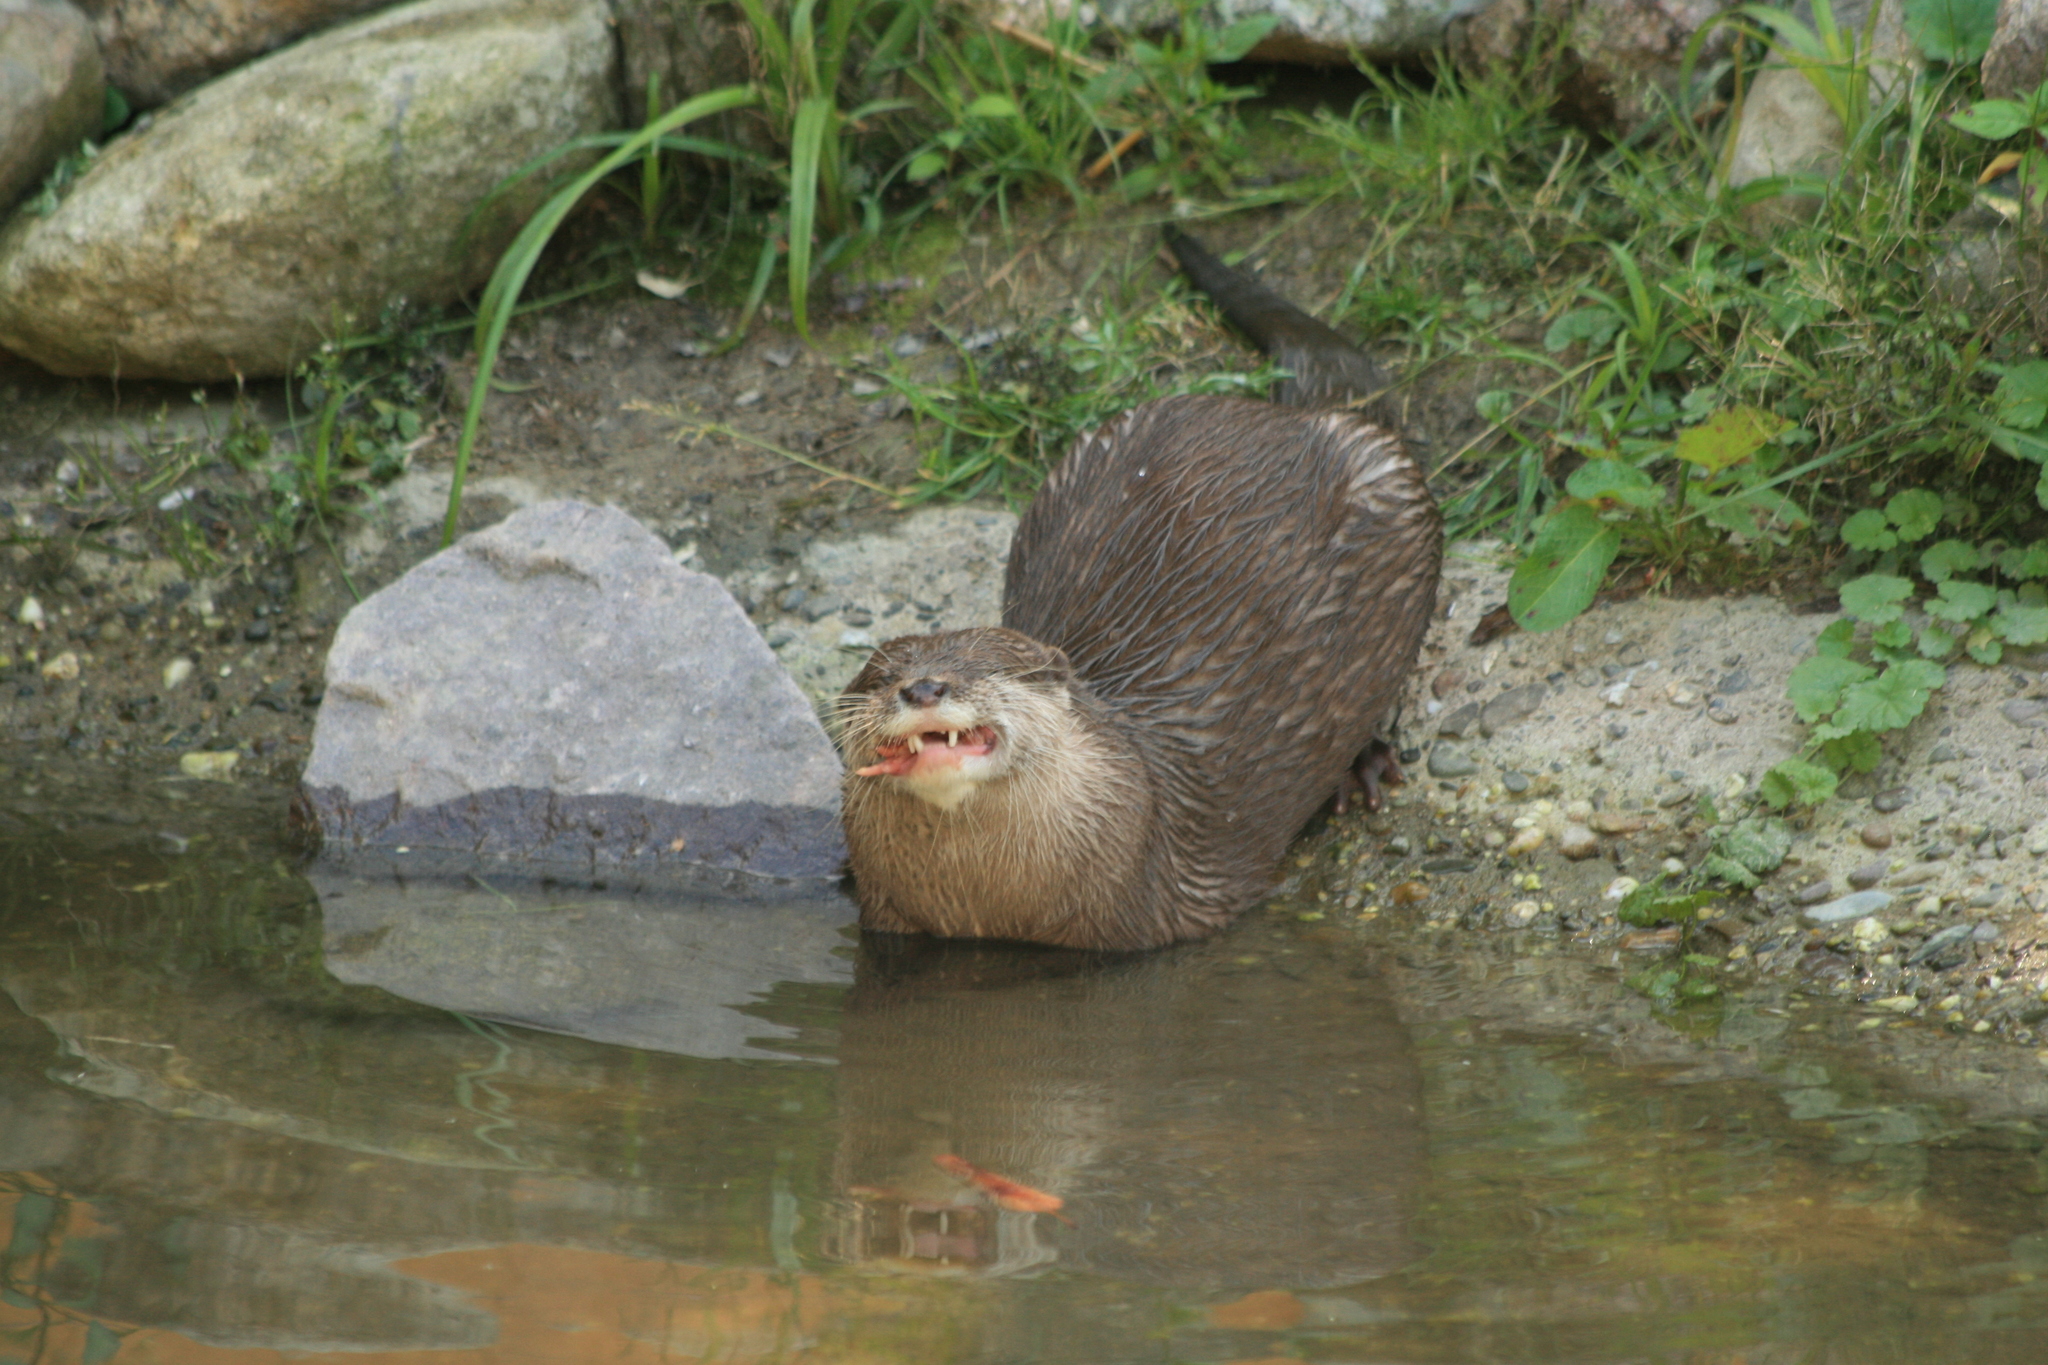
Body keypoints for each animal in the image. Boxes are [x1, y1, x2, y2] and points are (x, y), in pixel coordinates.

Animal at [836, 229, 1442, 951]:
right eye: (880, 675)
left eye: (983, 667)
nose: (924, 687)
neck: (994, 913)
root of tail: (1297, 416)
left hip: (1393, 486)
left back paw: (1362, 766)